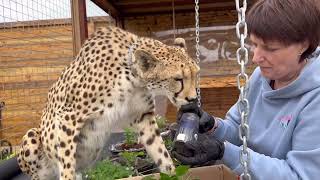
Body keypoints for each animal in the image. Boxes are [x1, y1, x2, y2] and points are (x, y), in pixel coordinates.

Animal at [16, 25, 200, 180]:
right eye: (178, 79)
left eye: (195, 74)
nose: (193, 99)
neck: (133, 76)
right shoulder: (68, 117)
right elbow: (67, 162)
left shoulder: (143, 116)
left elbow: (160, 151)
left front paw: (172, 172)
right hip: (32, 136)